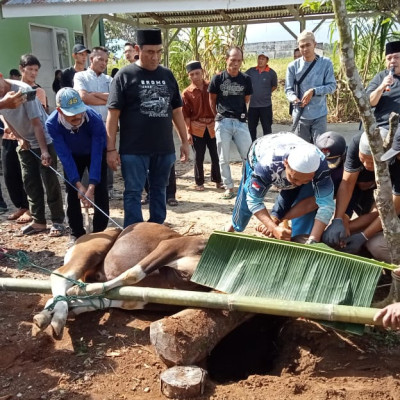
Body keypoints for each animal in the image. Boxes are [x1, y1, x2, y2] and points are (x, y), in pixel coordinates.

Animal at [33, 222, 206, 338]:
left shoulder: (153, 300)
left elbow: (117, 300)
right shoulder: (171, 245)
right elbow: (133, 274)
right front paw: (83, 290)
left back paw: (48, 314)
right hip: (93, 248)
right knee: (62, 274)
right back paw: (58, 316)